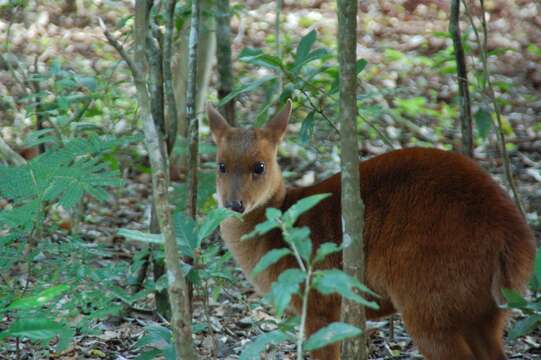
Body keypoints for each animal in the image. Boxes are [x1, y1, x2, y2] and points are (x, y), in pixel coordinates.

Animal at [208, 100, 536, 358]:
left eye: (259, 166)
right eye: (221, 166)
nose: (234, 204)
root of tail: (514, 241)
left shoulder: (319, 306)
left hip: (428, 299)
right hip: (486, 310)